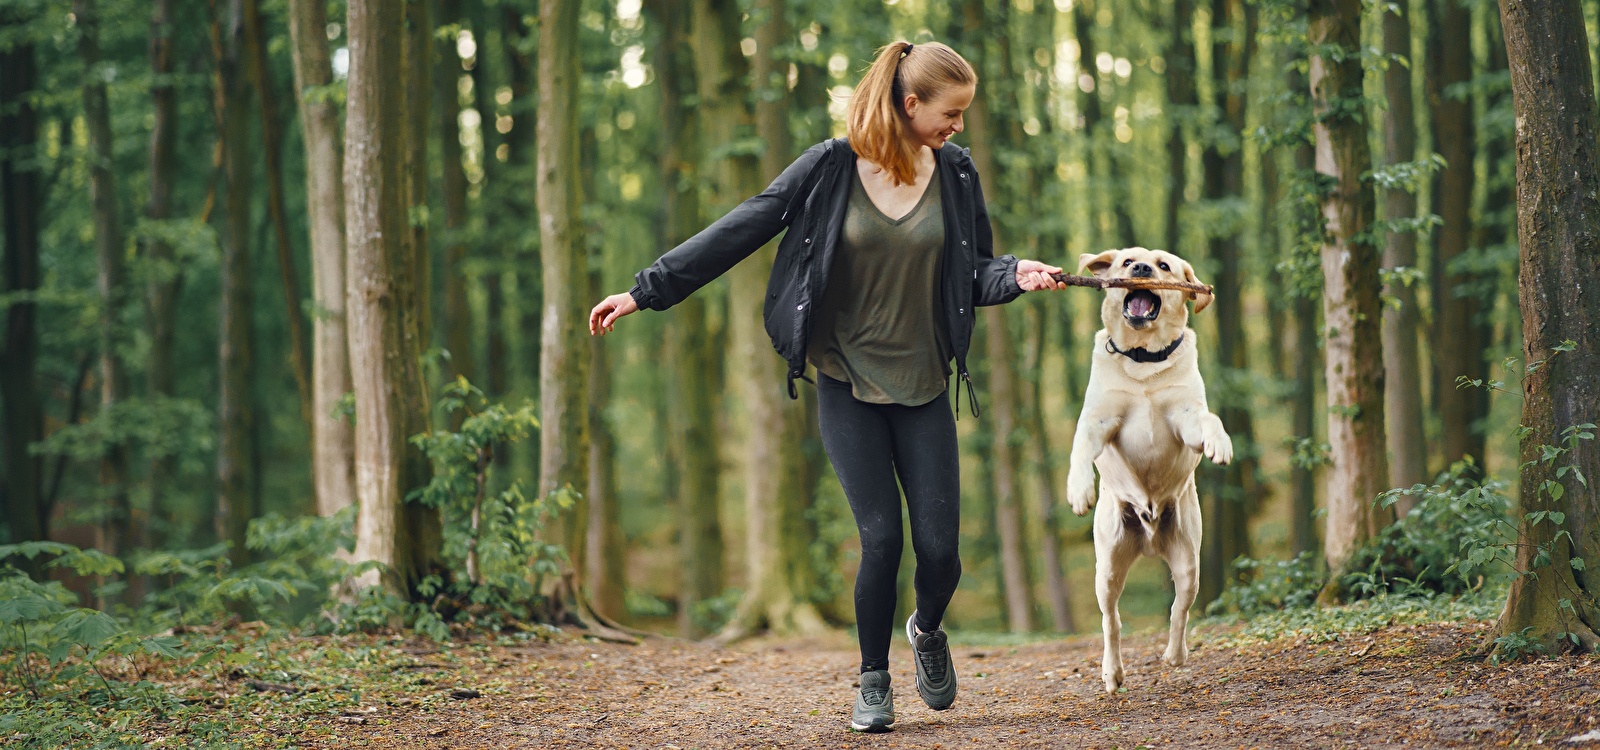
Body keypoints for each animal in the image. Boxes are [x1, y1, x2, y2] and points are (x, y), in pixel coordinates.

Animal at [1068, 247, 1228, 694]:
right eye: (1126, 262)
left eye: (1164, 266)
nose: (1140, 269)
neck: (1143, 361)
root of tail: (1151, 538)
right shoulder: (1099, 420)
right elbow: (1081, 447)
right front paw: (1079, 489)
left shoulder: (1186, 418)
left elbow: (1209, 420)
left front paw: (1221, 442)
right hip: (1106, 568)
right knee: (1112, 621)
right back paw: (1112, 672)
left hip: (1189, 561)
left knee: (1179, 608)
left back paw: (1175, 654)